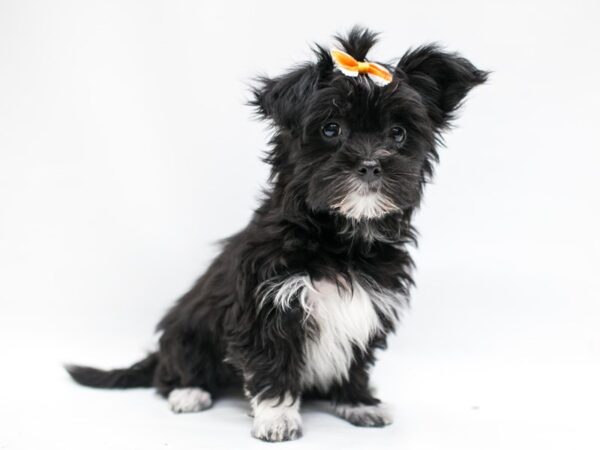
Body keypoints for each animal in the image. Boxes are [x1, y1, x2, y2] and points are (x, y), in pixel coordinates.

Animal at [67, 27, 488, 442]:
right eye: (331, 129)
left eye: (398, 134)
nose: (370, 165)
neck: (338, 238)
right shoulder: (266, 304)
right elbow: (272, 364)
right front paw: (277, 418)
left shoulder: (369, 304)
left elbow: (355, 361)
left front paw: (358, 402)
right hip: (189, 328)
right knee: (170, 371)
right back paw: (189, 391)